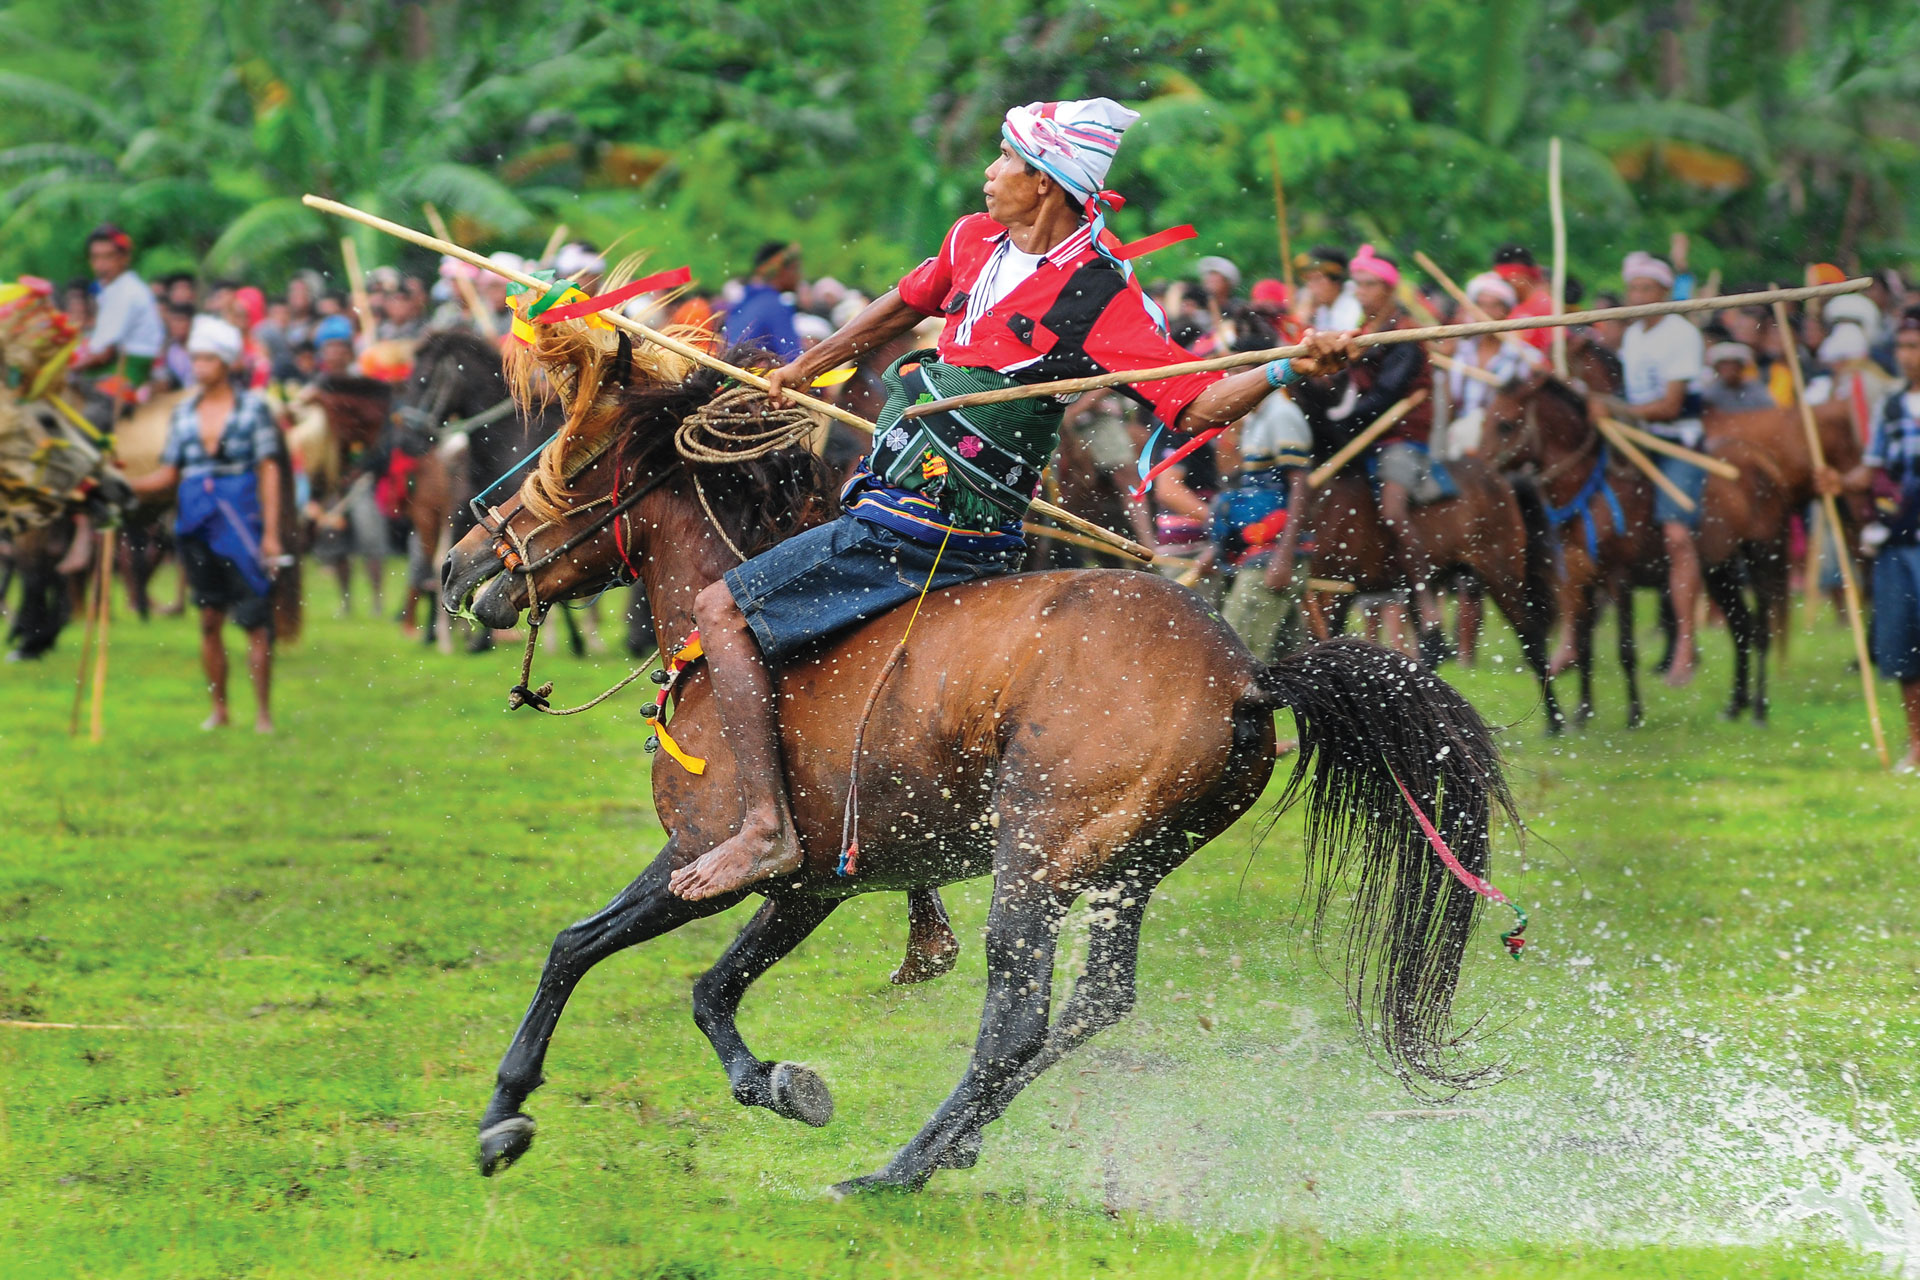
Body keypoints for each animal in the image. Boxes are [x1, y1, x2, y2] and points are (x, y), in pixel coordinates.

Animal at [441, 335, 1520, 1197]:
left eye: (571, 470)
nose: (459, 565)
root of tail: (1247, 674)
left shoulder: (708, 854)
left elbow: (574, 945)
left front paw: (504, 1113)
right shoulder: (812, 886)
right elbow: (710, 988)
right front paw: (774, 1082)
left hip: (1036, 852)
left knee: (1017, 1017)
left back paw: (898, 1169)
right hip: (1128, 861)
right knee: (1096, 1000)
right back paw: (948, 1144)